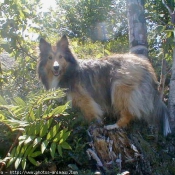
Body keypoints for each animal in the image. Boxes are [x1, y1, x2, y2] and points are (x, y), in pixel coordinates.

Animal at [38, 35, 171, 136]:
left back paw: (114, 126)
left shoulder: (85, 99)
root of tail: (145, 65)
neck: (67, 73)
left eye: (60, 57)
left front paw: (94, 126)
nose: (56, 67)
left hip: (119, 87)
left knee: (129, 113)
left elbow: (92, 115)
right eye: (50, 57)